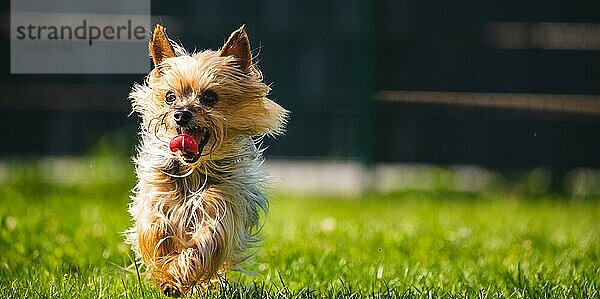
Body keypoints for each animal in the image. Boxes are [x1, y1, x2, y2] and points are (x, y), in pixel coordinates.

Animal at [125, 24, 288, 296]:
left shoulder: (220, 206)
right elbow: (155, 226)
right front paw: (164, 268)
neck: (193, 170)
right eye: (170, 97)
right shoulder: (156, 194)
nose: (180, 114)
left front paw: (174, 277)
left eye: (210, 97)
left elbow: (205, 241)